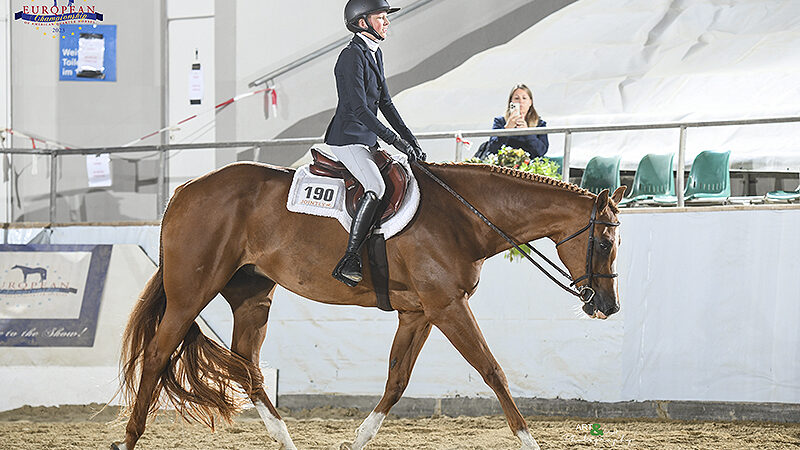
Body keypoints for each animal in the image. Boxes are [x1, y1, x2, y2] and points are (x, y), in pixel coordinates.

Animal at [112, 163, 624, 450]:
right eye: (603, 242)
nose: (609, 307)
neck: (463, 217)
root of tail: (184, 190)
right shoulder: (447, 307)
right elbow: (493, 371)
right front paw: (530, 441)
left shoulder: (419, 313)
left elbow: (397, 381)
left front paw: (358, 440)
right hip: (190, 294)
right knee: (158, 355)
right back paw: (130, 438)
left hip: (253, 294)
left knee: (248, 365)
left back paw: (285, 440)